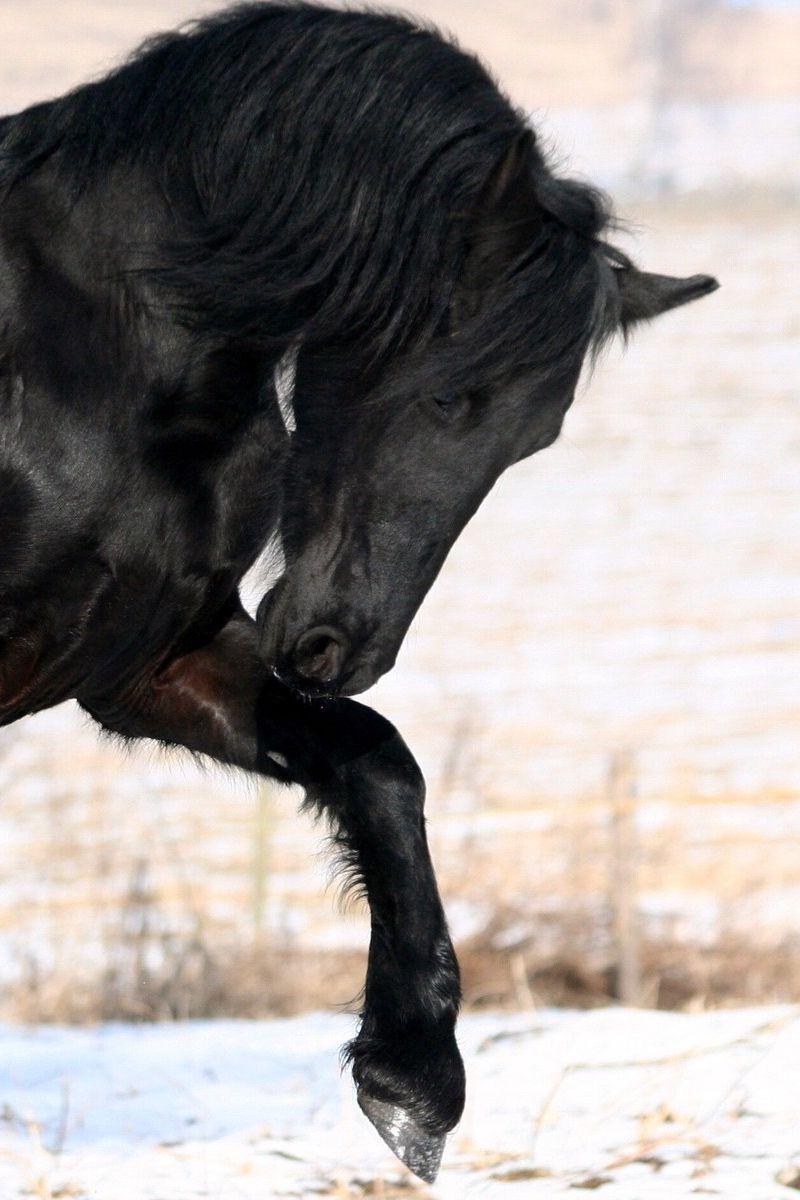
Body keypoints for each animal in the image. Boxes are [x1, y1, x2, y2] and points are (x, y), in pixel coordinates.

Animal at [0, 2, 718, 1182]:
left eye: (532, 437)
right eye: (448, 392)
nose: (341, 646)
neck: (77, 351)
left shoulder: (150, 661)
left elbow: (380, 767)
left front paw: (413, 1082)